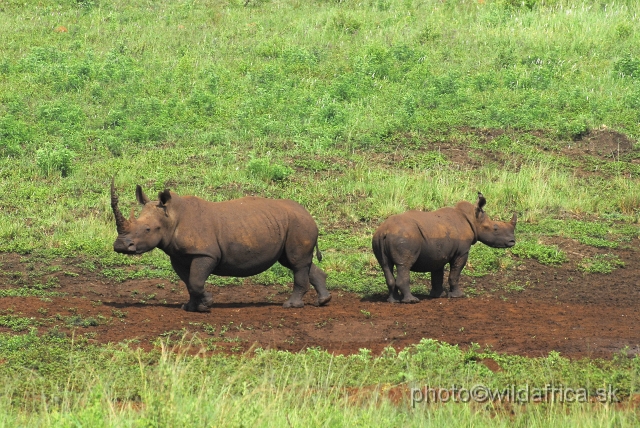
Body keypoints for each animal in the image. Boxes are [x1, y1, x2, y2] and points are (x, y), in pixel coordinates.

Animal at [109, 181, 330, 310]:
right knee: (298, 262)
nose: (120, 246)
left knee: (296, 262)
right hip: (289, 224)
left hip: (298, 224)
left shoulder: (205, 253)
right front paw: (191, 307)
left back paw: (290, 306)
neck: (171, 216)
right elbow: (188, 281)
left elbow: (196, 280)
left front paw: (207, 303)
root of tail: (309, 214)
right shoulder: (179, 255)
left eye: (148, 229)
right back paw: (323, 302)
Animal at [372, 192, 516, 302]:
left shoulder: (438, 251)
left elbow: (437, 274)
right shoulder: (462, 252)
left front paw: (438, 295)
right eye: (495, 228)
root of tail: (384, 231)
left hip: (379, 237)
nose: (512, 241)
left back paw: (393, 301)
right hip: (405, 237)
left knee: (385, 265)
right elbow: (455, 273)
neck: (473, 219)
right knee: (404, 265)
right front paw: (458, 295)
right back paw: (412, 301)